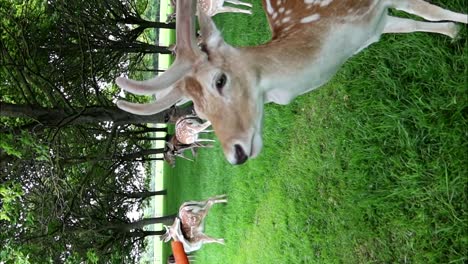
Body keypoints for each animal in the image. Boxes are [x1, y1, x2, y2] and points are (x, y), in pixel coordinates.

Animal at [114, 0, 468, 165]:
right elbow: (413, 24)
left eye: (220, 80)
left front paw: (460, 25)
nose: (236, 154)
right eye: (199, 113)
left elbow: (427, 11)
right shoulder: (375, 26)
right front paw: (453, 33)